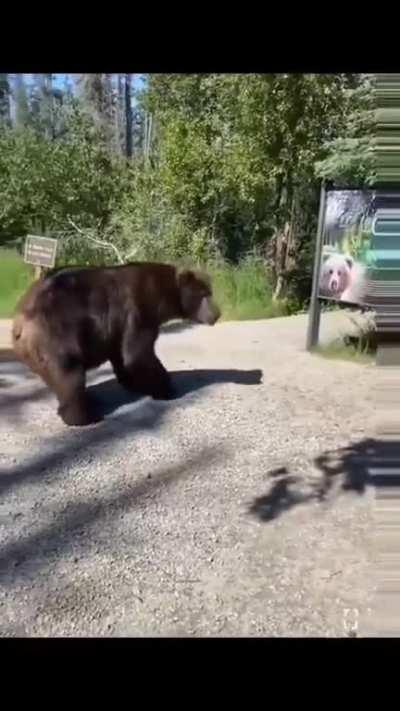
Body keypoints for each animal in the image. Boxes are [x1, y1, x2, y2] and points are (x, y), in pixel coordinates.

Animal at [12, 262, 221, 427]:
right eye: (204, 294)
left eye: (210, 292)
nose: (217, 314)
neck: (160, 296)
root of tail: (20, 323)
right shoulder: (137, 311)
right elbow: (138, 355)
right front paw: (166, 388)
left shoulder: (115, 328)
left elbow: (123, 358)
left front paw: (137, 384)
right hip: (56, 335)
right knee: (69, 374)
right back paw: (86, 416)